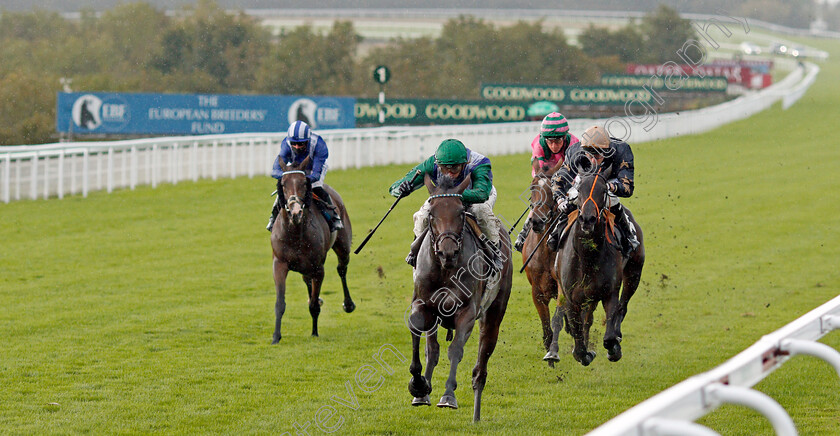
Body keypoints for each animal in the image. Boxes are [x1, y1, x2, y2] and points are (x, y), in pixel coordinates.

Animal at [270, 158, 352, 342]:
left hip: (343, 246)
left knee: (342, 269)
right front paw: (276, 336)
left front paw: (314, 332)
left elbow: (314, 305)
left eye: (303, 183)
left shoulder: (318, 268)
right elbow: (279, 303)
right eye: (283, 184)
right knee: (307, 280)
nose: (295, 212)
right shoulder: (279, 264)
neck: (295, 232)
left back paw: (348, 304)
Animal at [406, 174, 512, 422]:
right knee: (432, 350)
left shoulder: (467, 312)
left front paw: (448, 396)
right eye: (431, 214)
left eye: (461, 213)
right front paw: (418, 385)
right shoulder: (423, 304)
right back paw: (423, 393)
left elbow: (455, 350)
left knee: (480, 367)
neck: (445, 269)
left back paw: (476, 415)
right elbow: (417, 330)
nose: (448, 252)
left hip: (494, 313)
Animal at [552, 172, 644, 366]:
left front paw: (614, 349)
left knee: (623, 306)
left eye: (603, 191)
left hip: (634, 273)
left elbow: (609, 335)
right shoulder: (571, 299)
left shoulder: (610, 292)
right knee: (587, 320)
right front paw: (585, 353)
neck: (588, 258)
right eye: (579, 190)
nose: (588, 219)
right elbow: (579, 345)